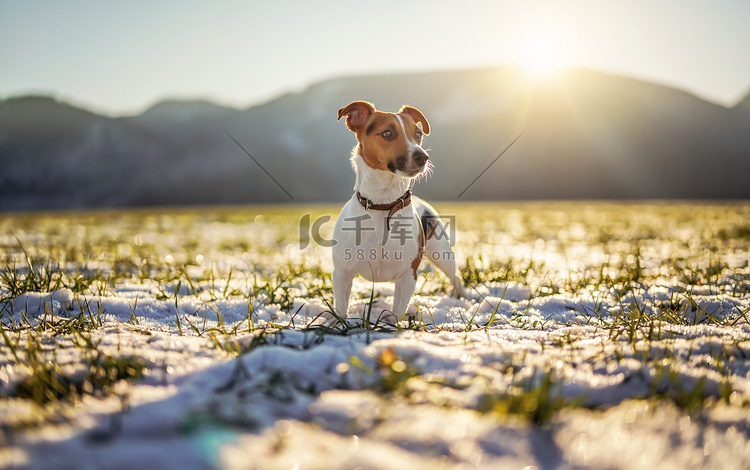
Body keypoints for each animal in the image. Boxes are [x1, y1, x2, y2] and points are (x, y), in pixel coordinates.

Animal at [334, 98, 464, 320]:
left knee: (456, 276)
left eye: (418, 135)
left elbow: (398, 311)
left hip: (442, 254)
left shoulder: (407, 275)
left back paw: (459, 297)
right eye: (387, 133)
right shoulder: (342, 273)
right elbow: (341, 310)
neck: (383, 204)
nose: (423, 157)